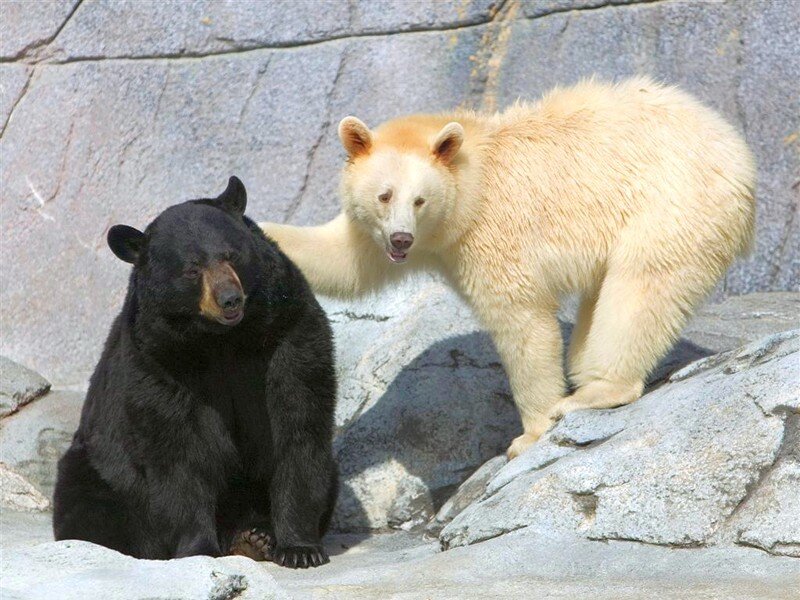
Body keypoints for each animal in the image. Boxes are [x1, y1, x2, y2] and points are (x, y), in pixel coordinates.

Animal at [53, 177, 338, 568]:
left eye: (231, 255)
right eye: (192, 269)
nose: (230, 299)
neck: (222, 341)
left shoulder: (288, 333)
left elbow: (298, 424)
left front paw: (299, 548)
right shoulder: (160, 362)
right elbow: (178, 452)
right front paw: (198, 549)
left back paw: (254, 537)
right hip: (99, 469)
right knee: (91, 509)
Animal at [259, 77, 756, 459]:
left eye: (420, 199)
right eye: (384, 195)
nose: (401, 240)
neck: (470, 177)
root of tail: (739, 155)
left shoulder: (491, 231)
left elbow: (521, 319)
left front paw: (529, 434)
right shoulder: (388, 233)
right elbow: (346, 260)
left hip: (673, 203)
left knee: (640, 288)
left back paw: (594, 391)